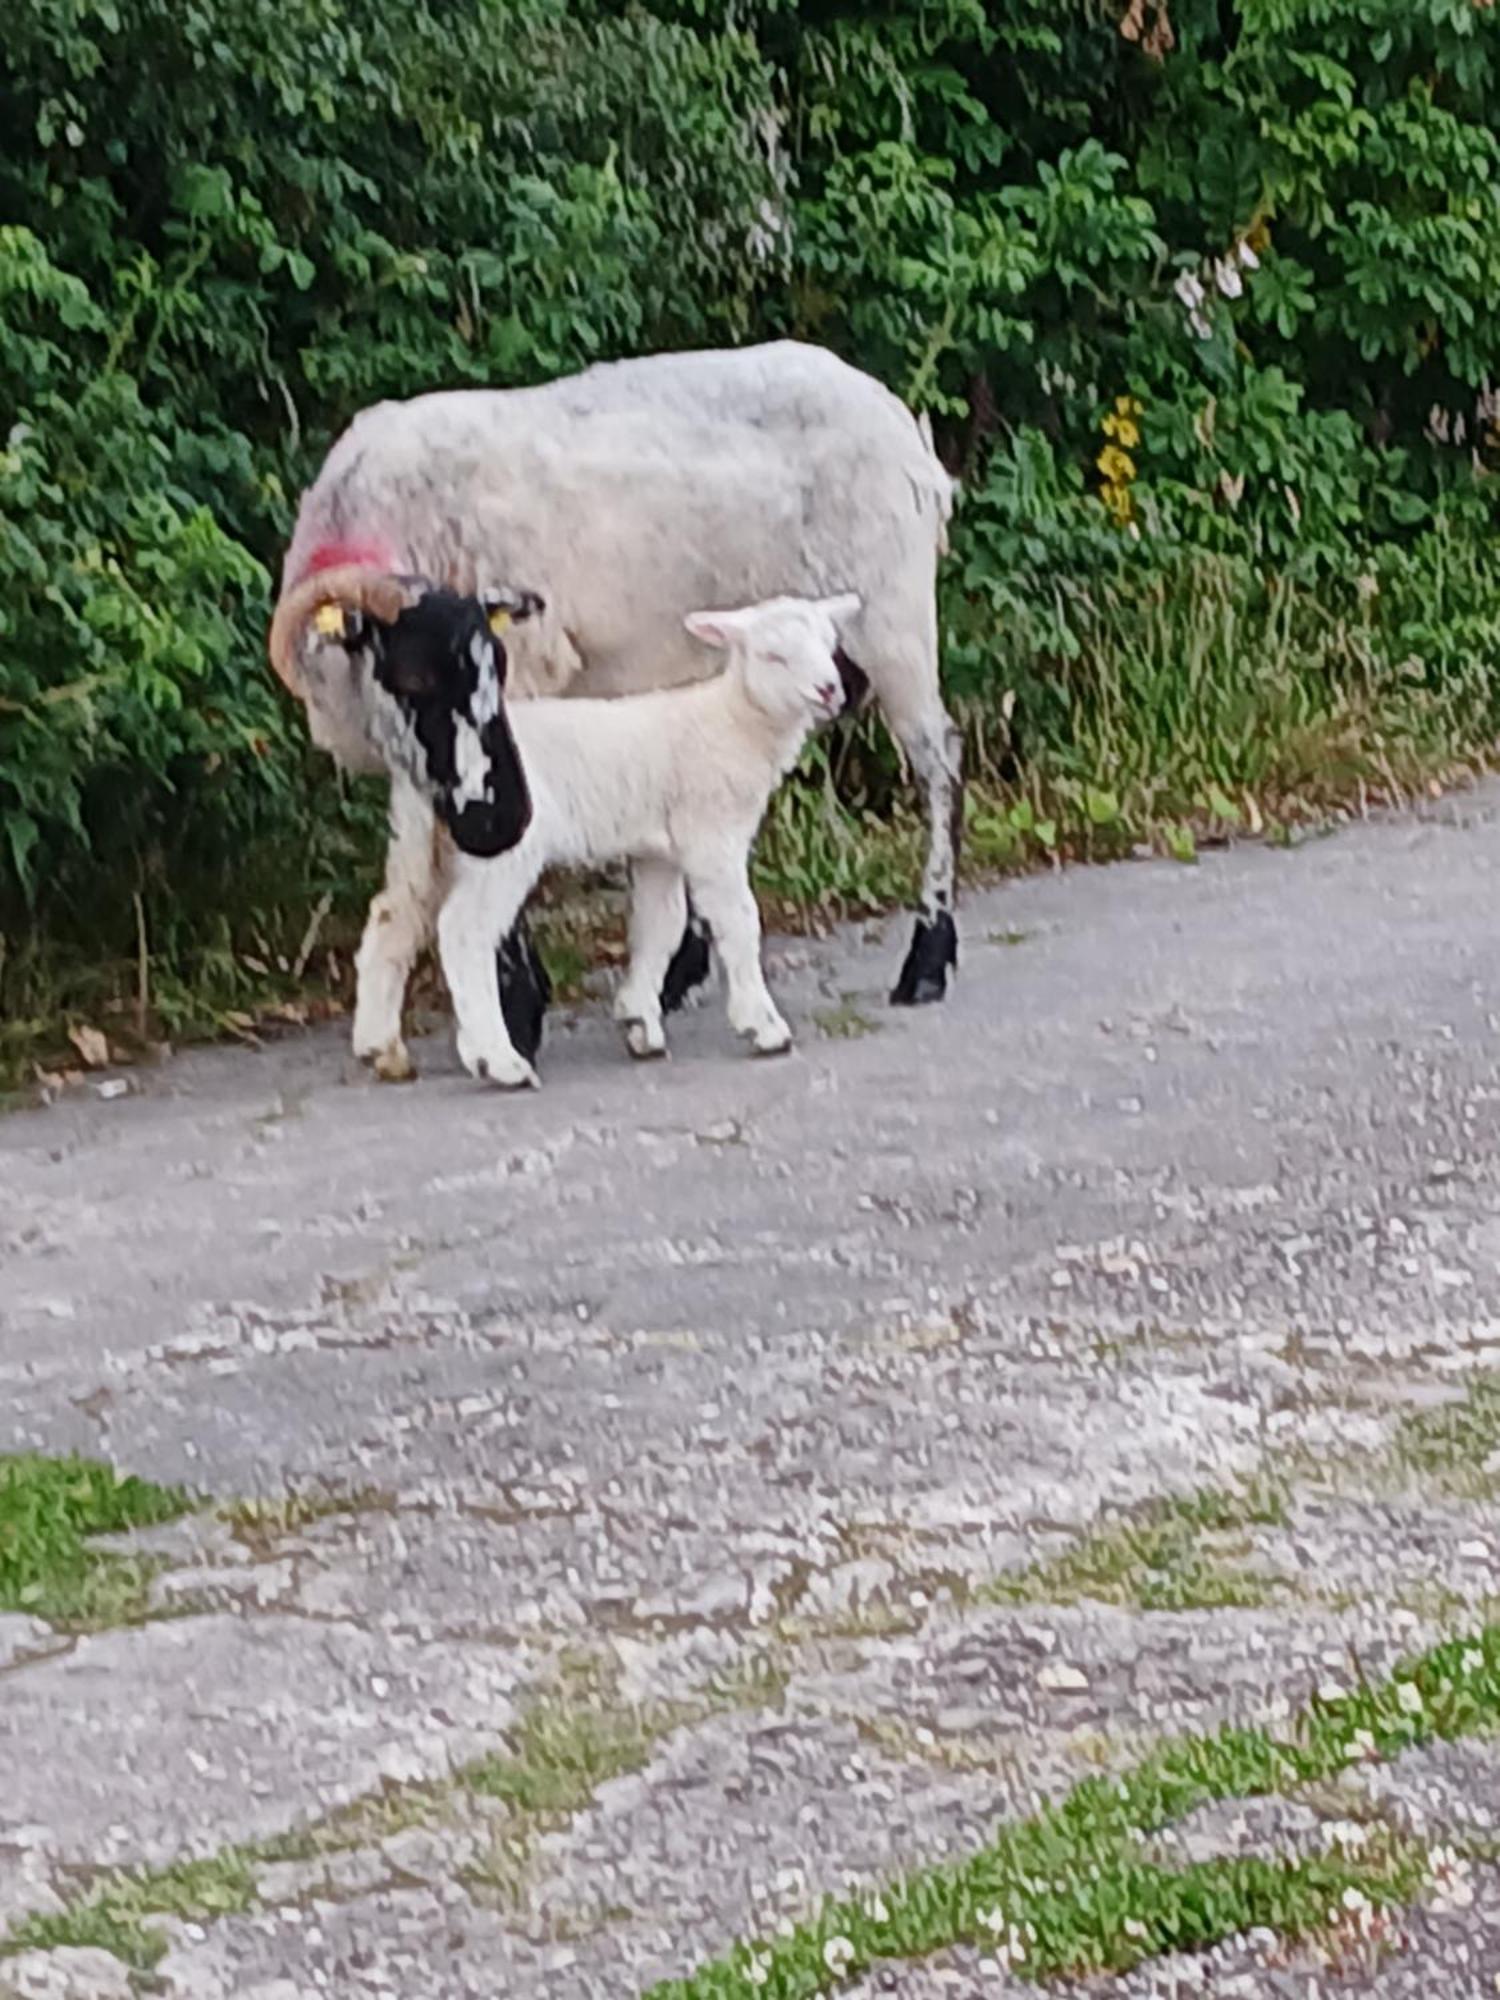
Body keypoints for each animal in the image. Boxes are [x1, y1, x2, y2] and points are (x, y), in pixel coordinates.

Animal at [434, 592, 856, 1096]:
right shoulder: (711, 834)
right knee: (464, 931)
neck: (733, 721)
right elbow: (739, 921)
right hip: (503, 845)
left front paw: (640, 1022)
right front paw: (763, 1026)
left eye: (829, 644)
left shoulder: (659, 849)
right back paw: (498, 1060)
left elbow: (661, 924)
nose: (830, 690)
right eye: (774, 656)